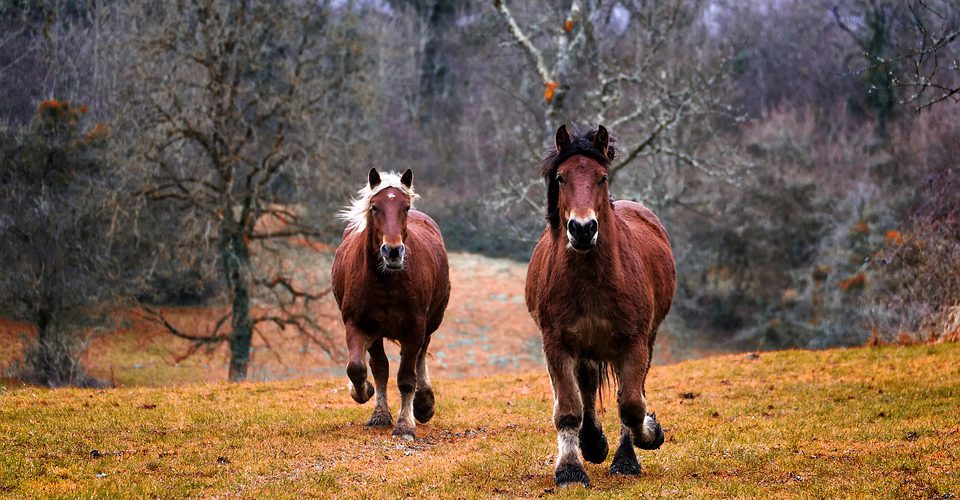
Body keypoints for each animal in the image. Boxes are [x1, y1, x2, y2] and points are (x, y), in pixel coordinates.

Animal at [332, 169, 452, 442]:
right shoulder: (358, 324)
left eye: (405, 207)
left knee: (420, 357)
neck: (386, 282)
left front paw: (405, 425)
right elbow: (359, 368)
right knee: (380, 367)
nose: (393, 252)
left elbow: (407, 378)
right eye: (374, 207)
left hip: (429, 324)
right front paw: (366, 396)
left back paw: (424, 404)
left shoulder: (414, 328)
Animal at [524, 125, 676, 488]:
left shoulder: (634, 342)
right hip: (586, 348)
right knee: (588, 388)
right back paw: (592, 443)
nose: (582, 229)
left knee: (628, 392)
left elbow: (632, 405)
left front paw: (647, 437)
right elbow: (569, 408)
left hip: (642, 341)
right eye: (561, 178)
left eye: (602, 177)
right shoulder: (557, 344)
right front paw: (570, 469)